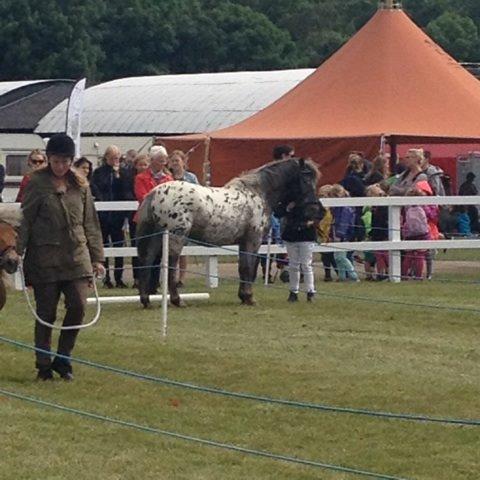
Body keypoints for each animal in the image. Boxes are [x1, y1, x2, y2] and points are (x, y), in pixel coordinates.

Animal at [137, 158, 320, 308]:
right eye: (306, 178)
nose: (314, 207)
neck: (258, 192)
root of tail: (155, 193)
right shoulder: (253, 240)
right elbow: (249, 268)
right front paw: (249, 297)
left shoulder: (243, 242)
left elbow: (242, 268)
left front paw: (243, 297)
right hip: (176, 236)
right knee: (170, 265)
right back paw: (177, 300)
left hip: (156, 236)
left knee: (147, 260)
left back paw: (146, 300)